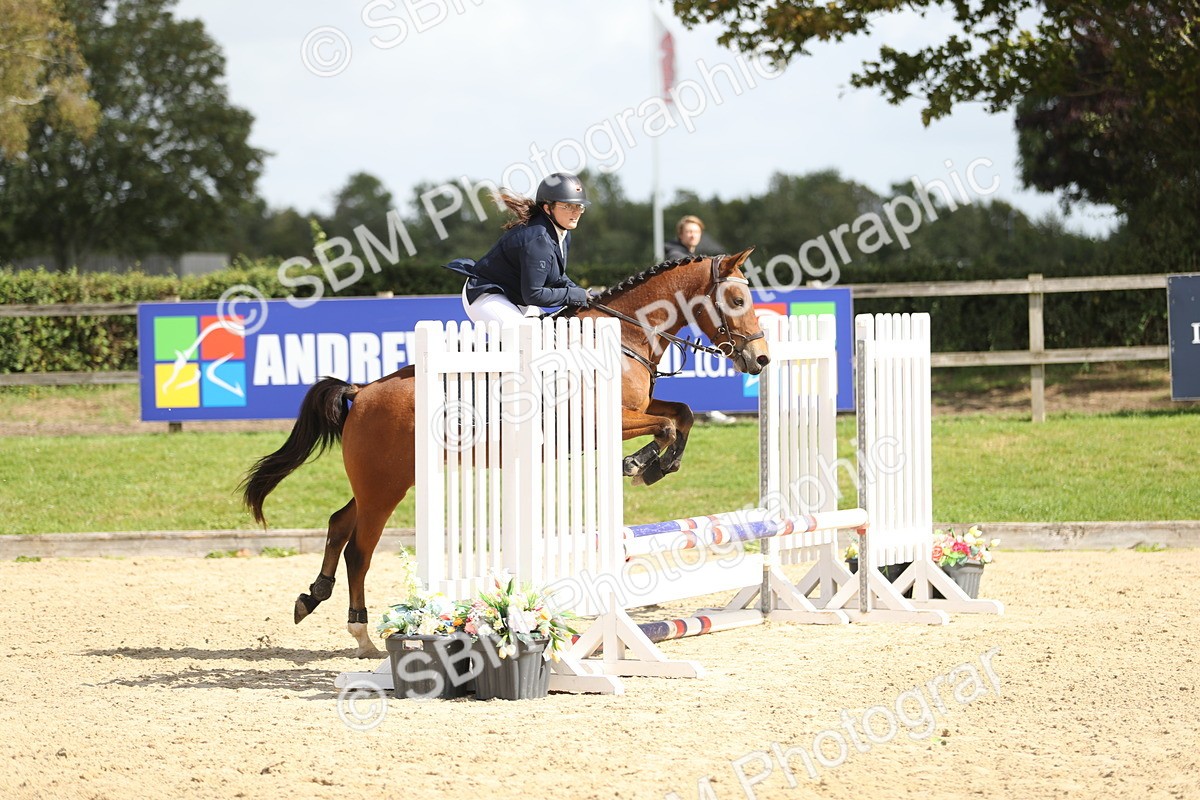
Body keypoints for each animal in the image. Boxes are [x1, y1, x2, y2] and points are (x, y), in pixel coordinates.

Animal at [241, 248, 770, 657]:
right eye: (737, 299)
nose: (761, 359)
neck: (625, 337)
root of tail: (363, 390)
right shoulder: (606, 420)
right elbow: (667, 423)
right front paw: (641, 465)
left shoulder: (634, 408)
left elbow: (682, 413)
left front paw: (657, 465)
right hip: (384, 486)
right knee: (359, 549)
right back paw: (362, 633)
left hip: (389, 480)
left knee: (337, 523)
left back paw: (312, 598)